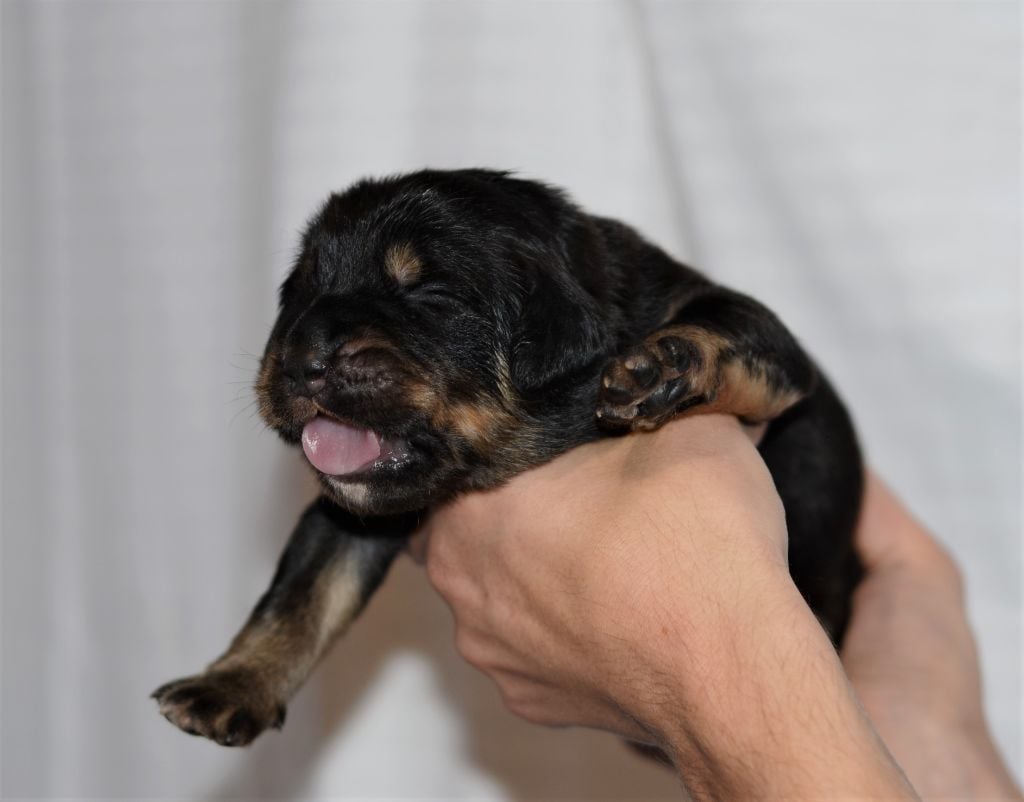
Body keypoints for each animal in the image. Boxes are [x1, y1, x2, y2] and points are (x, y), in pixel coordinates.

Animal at [153, 169, 864, 747]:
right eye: (300, 294)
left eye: (428, 295)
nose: (299, 362)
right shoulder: (349, 514)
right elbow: (303, 590)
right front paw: (232, 683)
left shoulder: (759, 341)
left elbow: (730, 321)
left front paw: (662, 366)